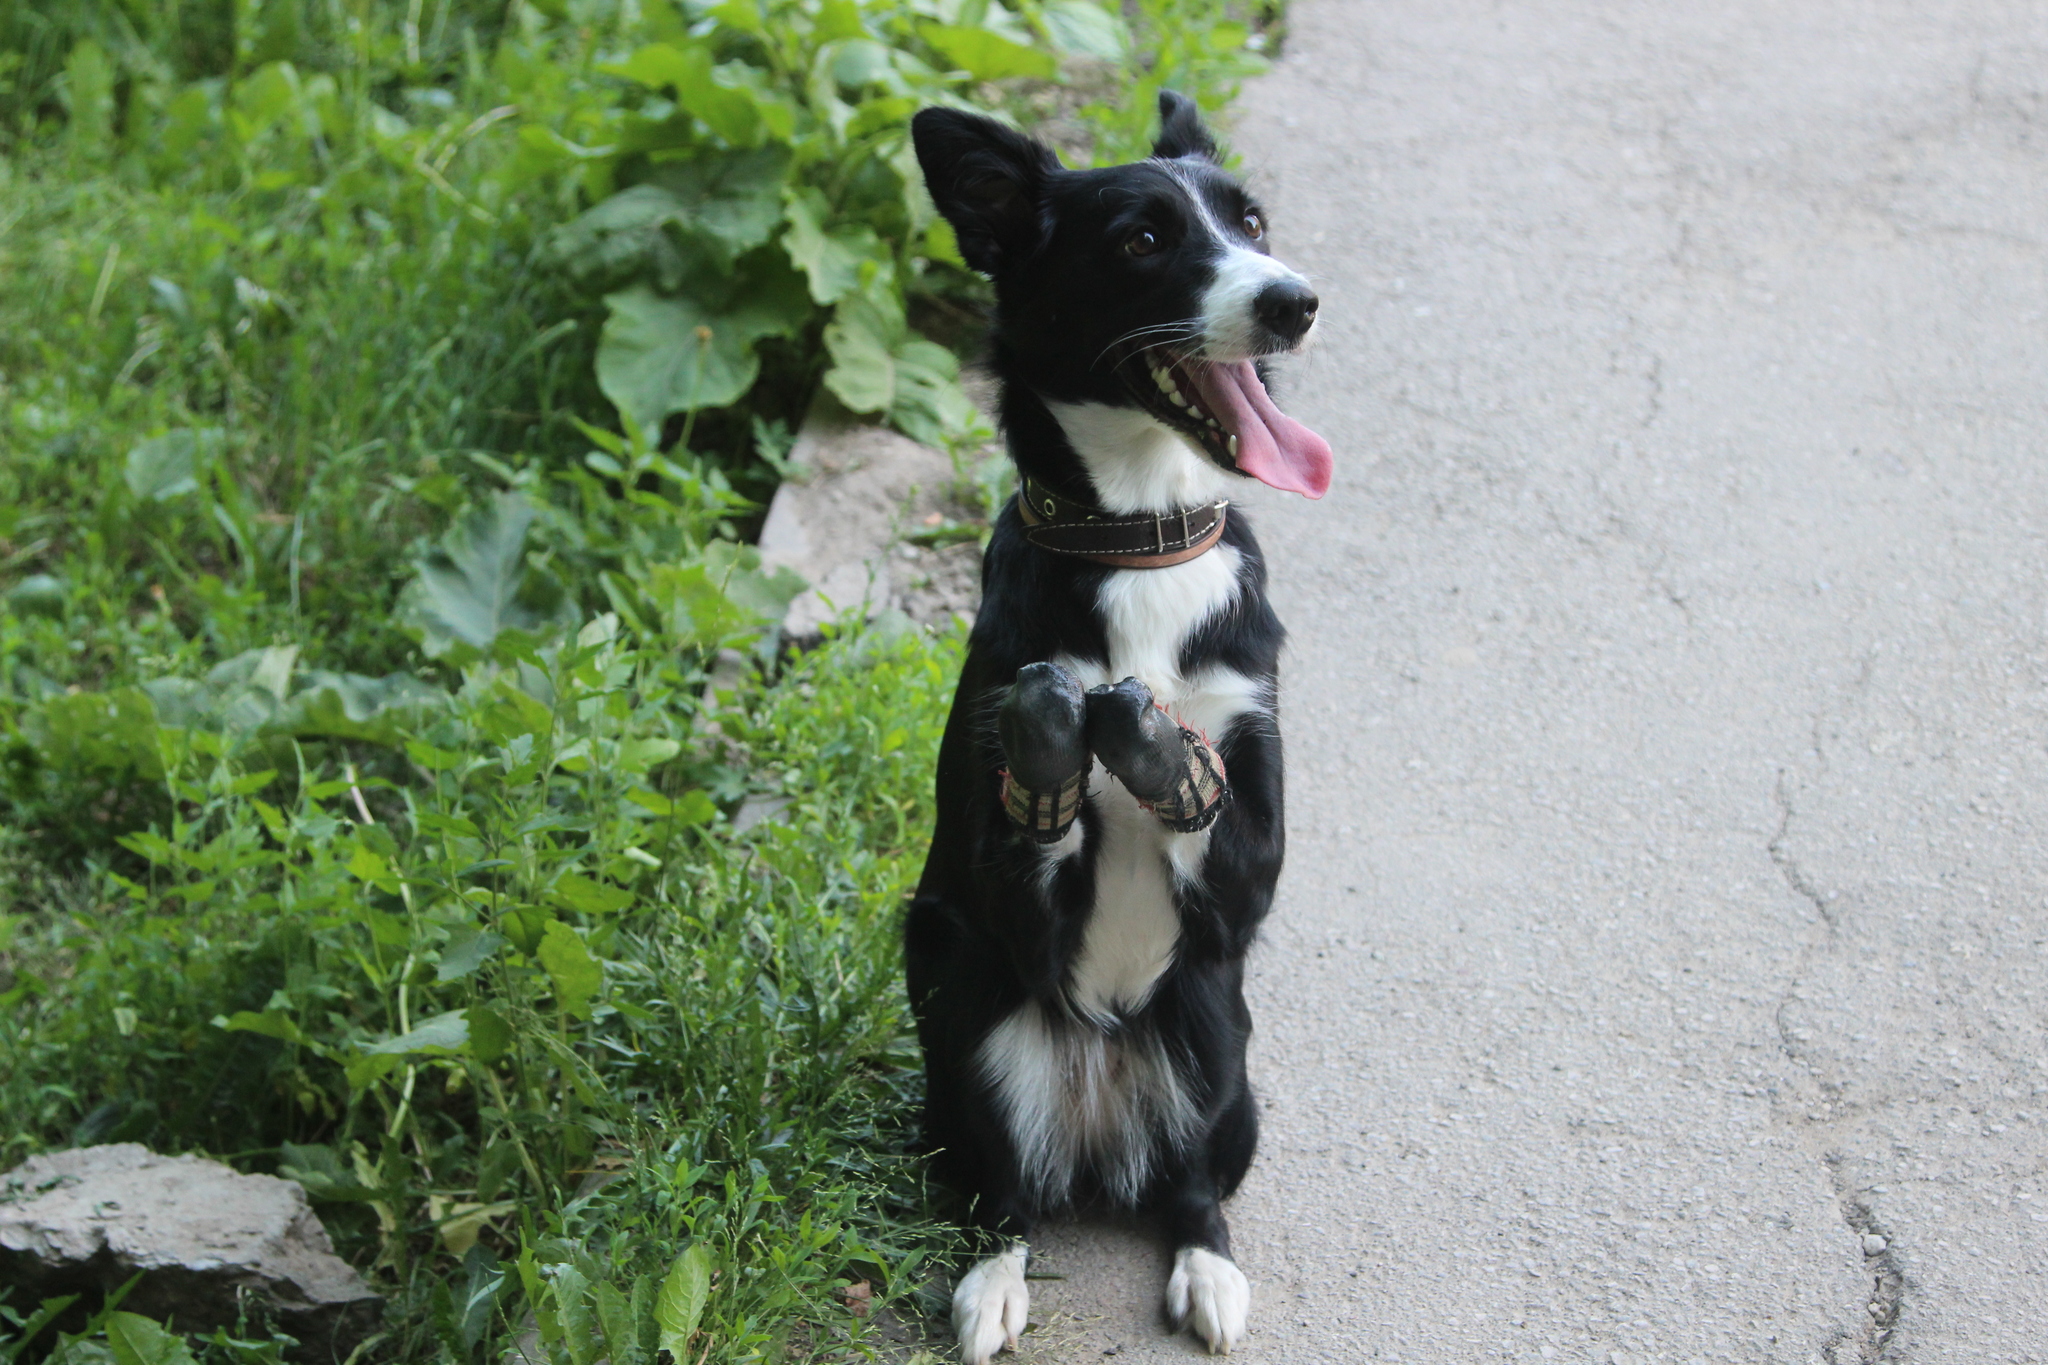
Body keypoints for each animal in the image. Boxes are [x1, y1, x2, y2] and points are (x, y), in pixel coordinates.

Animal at [909, 90, 1327, 1358]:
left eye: (1250, 220)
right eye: (1141, 241)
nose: (1294, 301)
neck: (1142, 538)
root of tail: (1097, 1140)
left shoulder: (1251, 852)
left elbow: (1205, 802)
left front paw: (1157, 754)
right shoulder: (988, 890)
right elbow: (1031, 804)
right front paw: (1060, 744)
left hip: (1217, 1033)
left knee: (1191, 1187)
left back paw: (1209, 1274)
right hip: (961, 1010)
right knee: (998, 1190)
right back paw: (992, 1284)